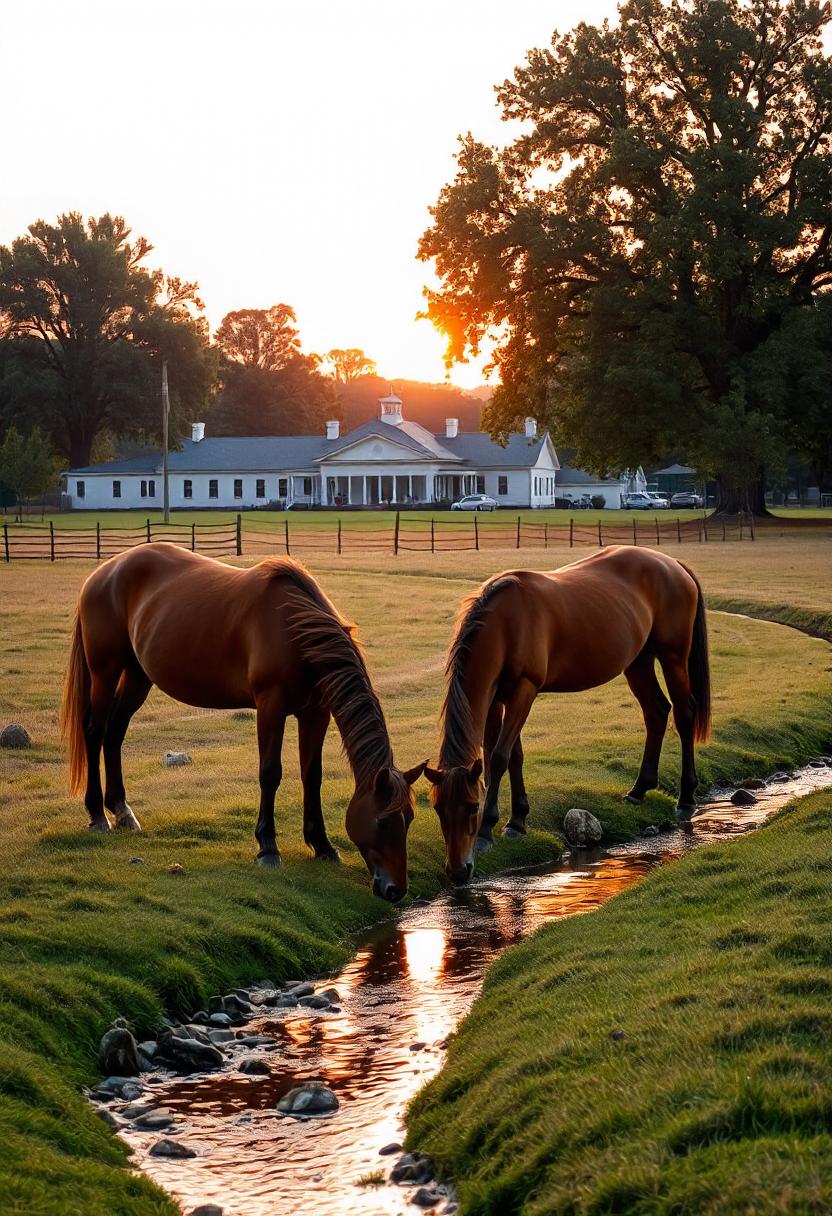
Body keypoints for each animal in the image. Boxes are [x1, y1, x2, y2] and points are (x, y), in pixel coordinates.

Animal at [60, 544, 425, 901]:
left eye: (409, 818)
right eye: (382, 822)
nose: (395, 889)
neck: (295, 630)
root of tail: (103, 572)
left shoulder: (316, 713)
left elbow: (312, 776)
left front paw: (322, 845)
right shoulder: (270, 707)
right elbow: (270, 774)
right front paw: (268, 848)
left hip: (138, 675)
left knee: (115, 733)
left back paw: (122, 810)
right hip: (105, 672)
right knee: (95, 732)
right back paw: (98, 815)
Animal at [425, 546, 711, 884]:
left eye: (472, 807)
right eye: (438, 809)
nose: (458, 871)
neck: (506, 624)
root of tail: (673, 564)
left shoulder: (525, 689)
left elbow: (499, 757)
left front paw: (486, 831)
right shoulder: (496, 698)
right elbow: (509, 756)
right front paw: (517, 820)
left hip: (673, 657)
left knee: (684, 715)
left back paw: (686, 798)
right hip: (638, 661)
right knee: (656, 711)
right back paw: (639, 789)